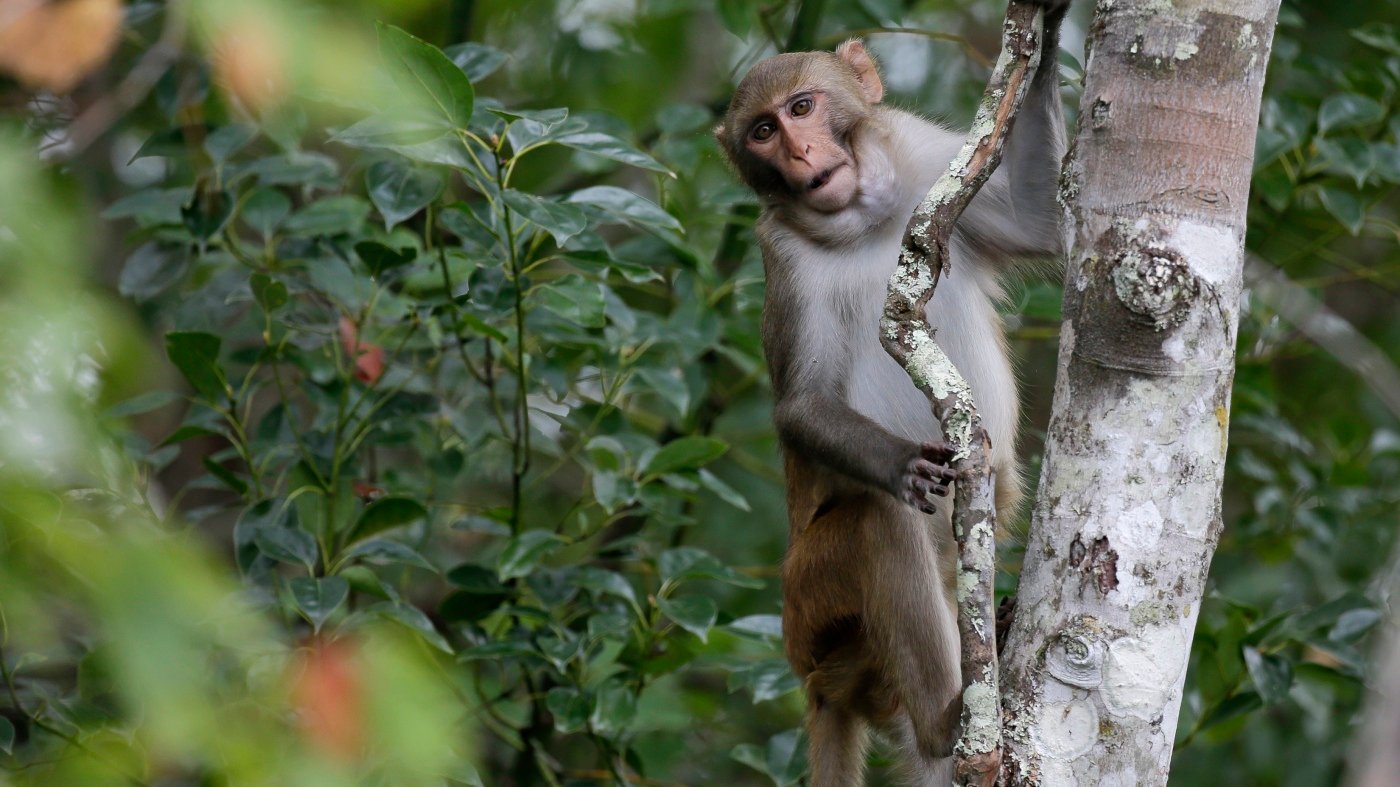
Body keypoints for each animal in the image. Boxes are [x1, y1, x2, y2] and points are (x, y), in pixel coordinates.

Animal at [716, 3, 1064, 778]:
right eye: (762, 132)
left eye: (802, 107)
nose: (800, 153)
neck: (864, 218)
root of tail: (819, 682)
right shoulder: (782, 254)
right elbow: (803, 404)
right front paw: (903, 463)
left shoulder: (926, 156)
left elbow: (1038, 218)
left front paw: (1051, 33)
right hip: (812, 606)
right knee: (878, 521)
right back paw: (944, 721)